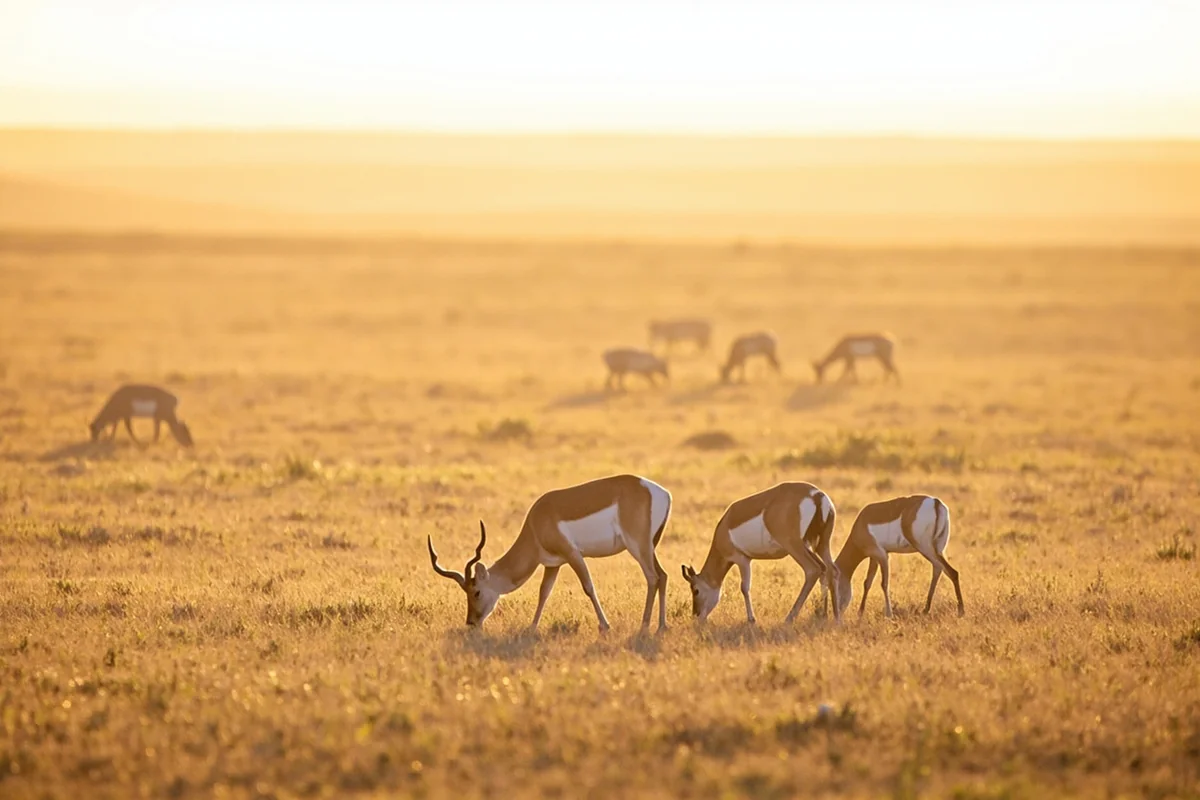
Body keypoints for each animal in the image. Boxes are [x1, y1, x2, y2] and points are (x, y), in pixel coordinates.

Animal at [427, 474, 672, 632]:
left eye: (476, 591)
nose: (471, 622)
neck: (537, 523)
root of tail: (662, 493)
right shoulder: (553, 564)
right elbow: (544, 593)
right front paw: (531, 627)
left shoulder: (573, 554)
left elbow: (588, 587)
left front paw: (605, 626)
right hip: (649, 546)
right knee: (663, 575)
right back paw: (661, 626)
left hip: (637, 546)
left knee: (652, 577)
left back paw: (644, 626)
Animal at [681, 482, 840, 624]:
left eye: (695, 590)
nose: (696, 615)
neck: (725, 526)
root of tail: (816, 495)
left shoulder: (742, 559)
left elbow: (744, 587)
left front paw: (751, 619)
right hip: (820, 545)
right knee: (830, 569)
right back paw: (831, 616)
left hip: (795, 547)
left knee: (814, 569)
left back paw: (790, 618)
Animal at [833, 495, 964, 619]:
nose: (837, 612)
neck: (862, 523)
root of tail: (935, 502)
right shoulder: (874, 558)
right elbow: (867, 583)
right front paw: (860, 613)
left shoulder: (882, 556)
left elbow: (884, 583)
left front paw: (889, 614)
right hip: (938, 549)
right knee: (940, 569)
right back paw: (926, 610)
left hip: (925, 548)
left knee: (949, 571)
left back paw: (960, 611)